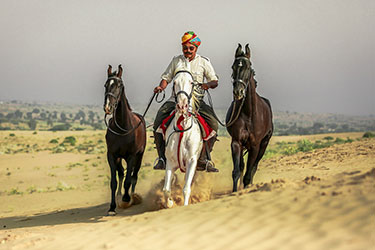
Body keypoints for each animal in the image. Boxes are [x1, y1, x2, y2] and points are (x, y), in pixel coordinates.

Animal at [103, 65, 146, 215]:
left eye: (119, 85)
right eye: (106, 85)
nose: (108, 107)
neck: (122, 127)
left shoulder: (131, 156)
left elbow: (129, 180)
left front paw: (127, 199)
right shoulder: (112, 155)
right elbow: (114, 182)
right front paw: (112, 207)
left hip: (139, 156)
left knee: (134, 176)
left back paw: (132, 196)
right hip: (119, 158)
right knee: (121, 173)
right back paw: (119, 195)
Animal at [163, 70, 204, 207]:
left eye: (191, 82)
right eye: (174, 82)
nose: (182, 105)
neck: (183, 130)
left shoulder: (192, 161)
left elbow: (186, 189)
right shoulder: (170, 162)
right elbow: (166, 190)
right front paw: (170, 203)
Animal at [226, 44, 274, 191]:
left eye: (248, 67)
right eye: (233, 67)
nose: (238, 92)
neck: (249, 114)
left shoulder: (255, 146)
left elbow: (249, 172)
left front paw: (246, 187)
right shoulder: (236, 142)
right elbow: (237, 171)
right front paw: (235, 191)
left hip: (264, 145)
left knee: (254, 167)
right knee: (242, 167)